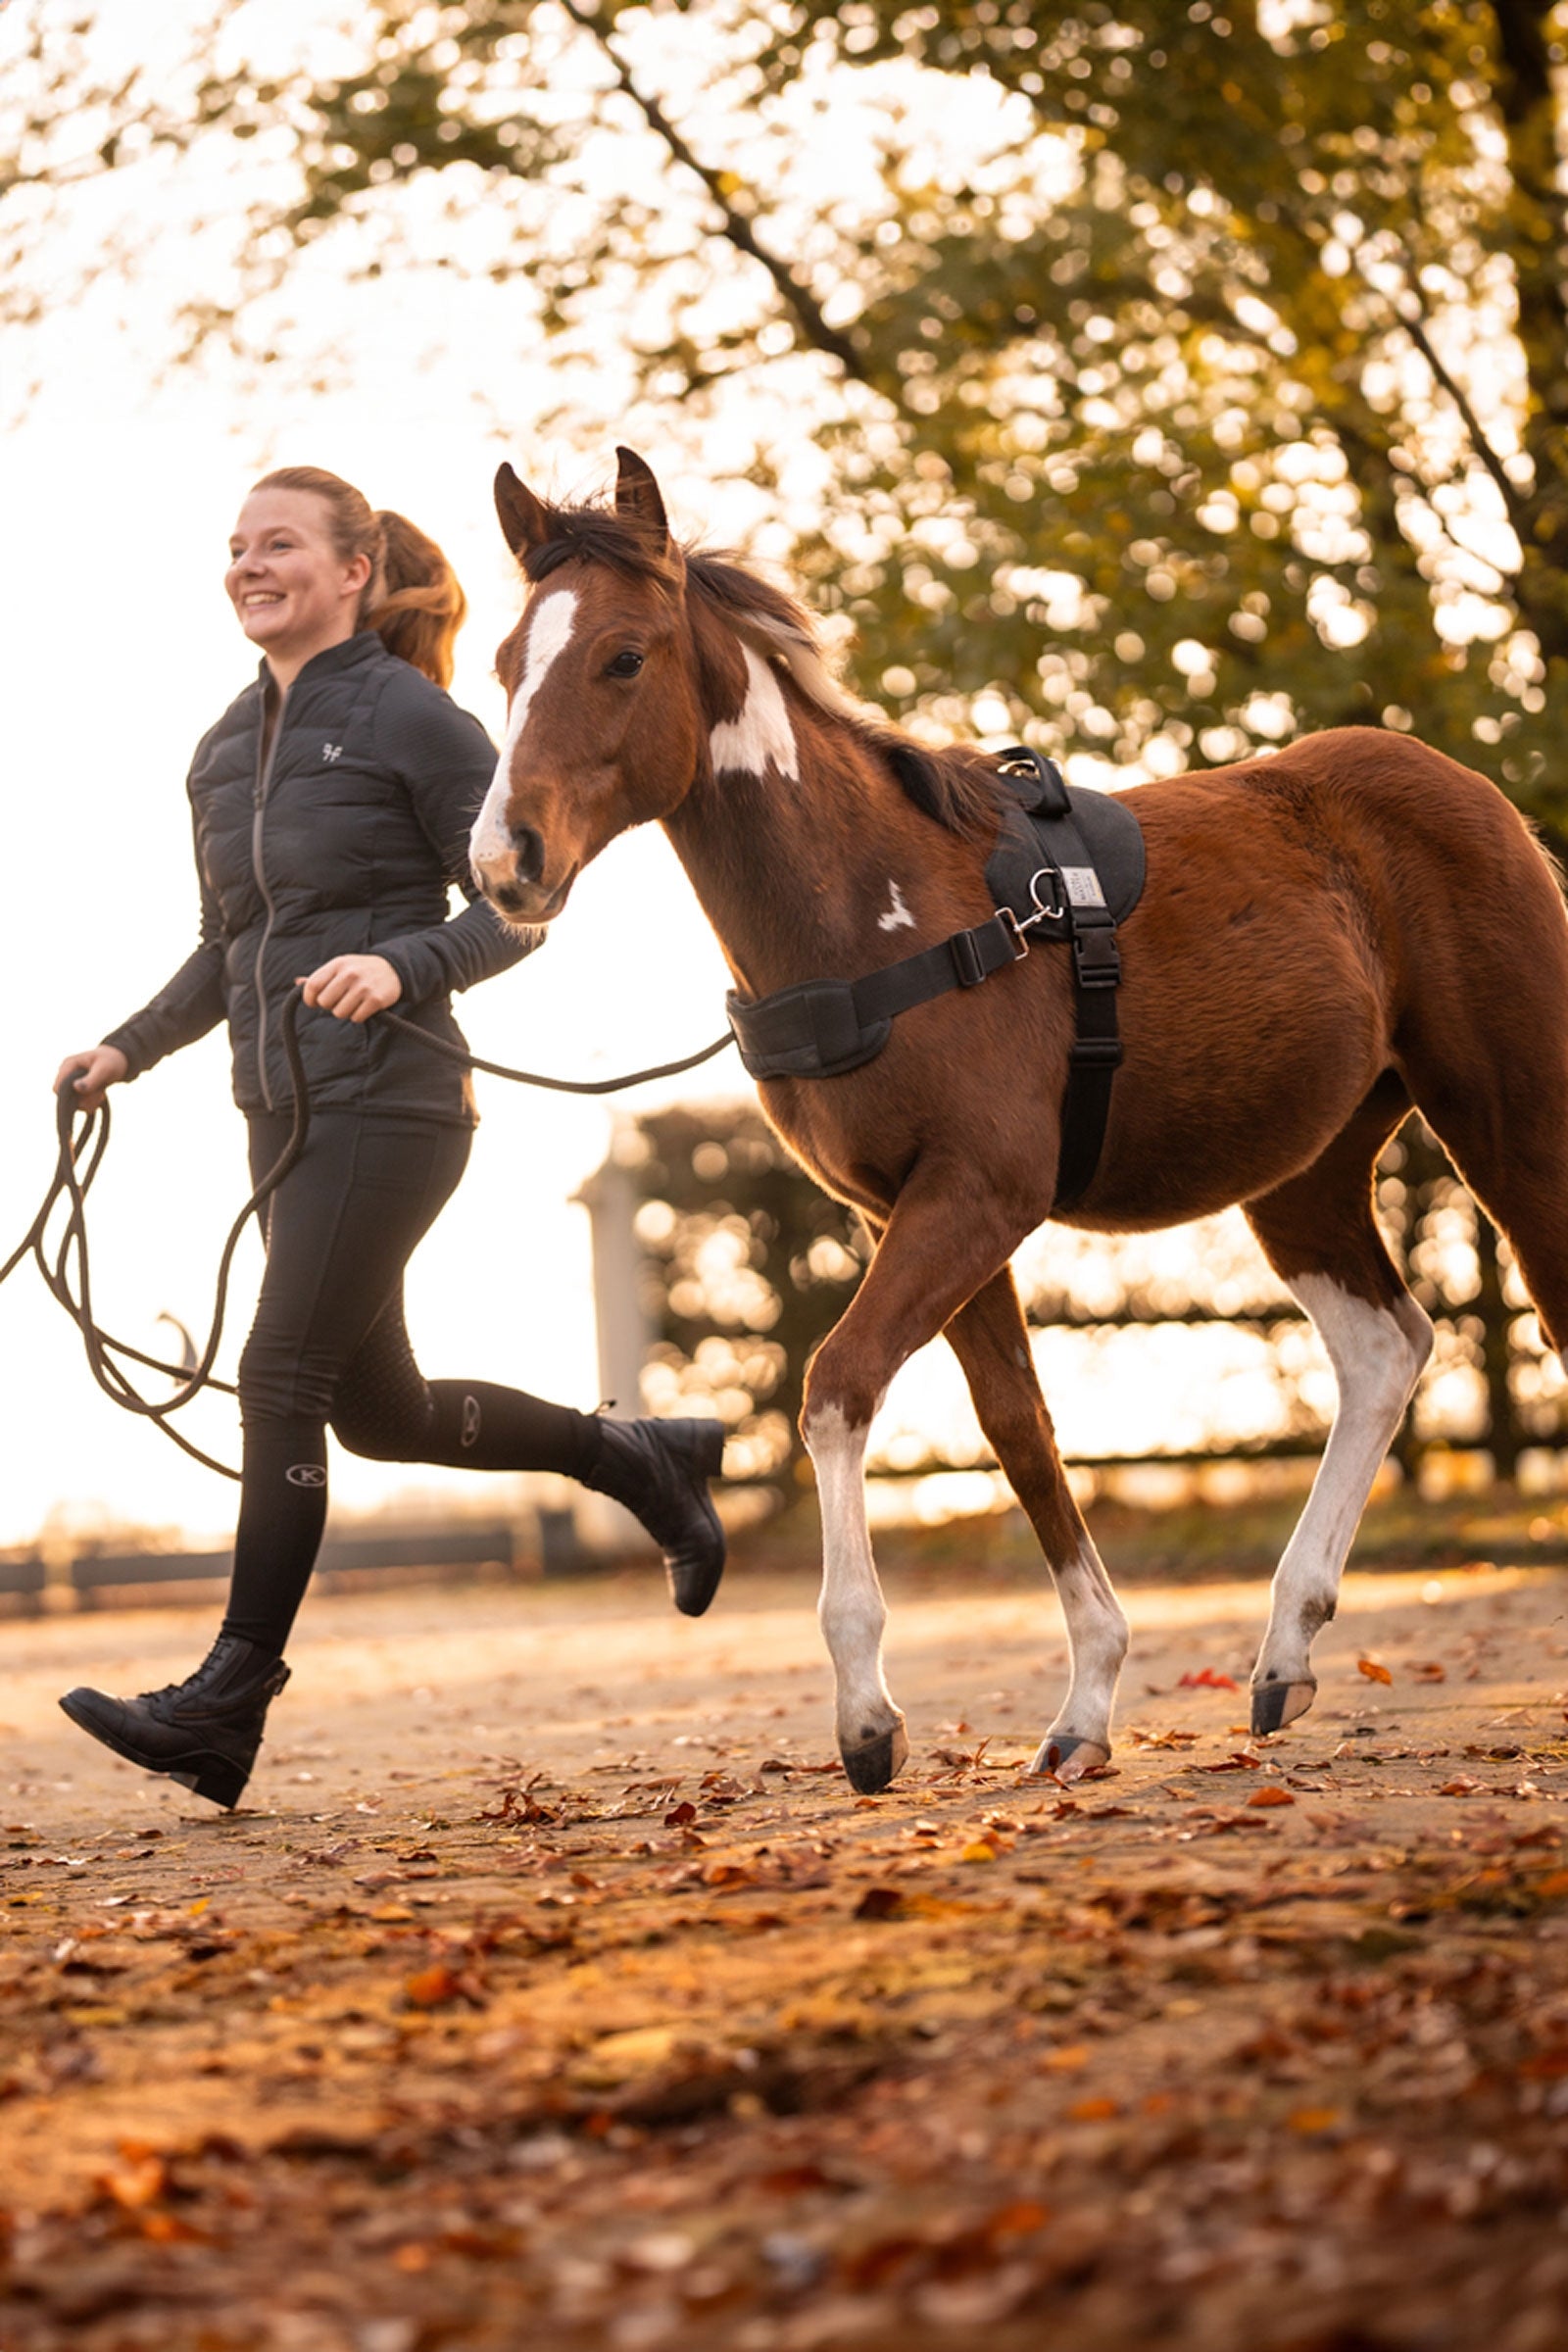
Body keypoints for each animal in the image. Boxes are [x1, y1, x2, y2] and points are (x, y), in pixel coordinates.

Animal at [469, 446, 1568, 1794]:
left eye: (622, 657)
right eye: (504, 664)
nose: (505, 862)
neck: (887, 915)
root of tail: (1476, 796)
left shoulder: (976, 1197)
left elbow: (837, 1385)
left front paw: (867, 1720)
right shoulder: (924, 1214)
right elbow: (1018, 1429)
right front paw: (1086, 1706)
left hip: (1512, 1115)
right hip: (1303, 1173)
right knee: (1384, 1349)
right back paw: (1283, 1653)